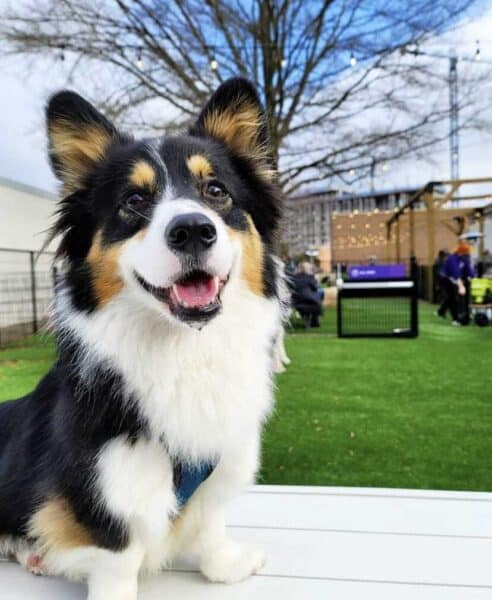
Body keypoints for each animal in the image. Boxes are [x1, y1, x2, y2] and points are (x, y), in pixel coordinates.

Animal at [0, 79, 284, 600]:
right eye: (133, 201)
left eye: (216, 190)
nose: (192, 229)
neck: (184, 349)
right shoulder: (104, 486)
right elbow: (119, 557)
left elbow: (211, 521)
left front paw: (225, 565)